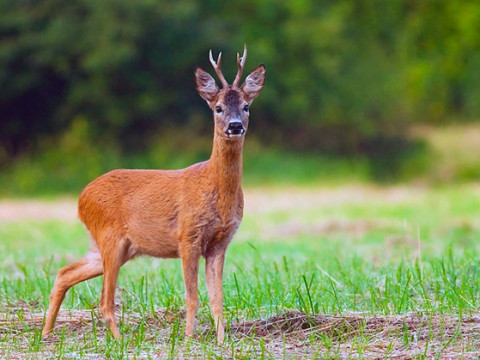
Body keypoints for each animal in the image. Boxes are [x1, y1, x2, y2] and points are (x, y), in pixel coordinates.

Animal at [41, 46, 266, 342]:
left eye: (246, 106)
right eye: (218, 108)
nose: (235, 125)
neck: (215, 190)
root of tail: (81, 198)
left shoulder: (220, 242)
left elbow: (217, 298)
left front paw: (221, 340)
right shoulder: (187, 236)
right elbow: (192, 297)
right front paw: (187, 339)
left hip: (118, 246)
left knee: (64, 273)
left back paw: (46, 333)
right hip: (110, 236)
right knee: (104, 300)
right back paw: (118, 340)